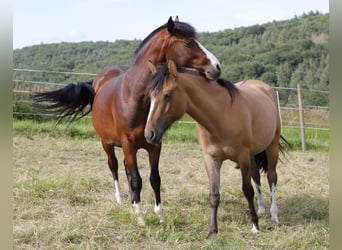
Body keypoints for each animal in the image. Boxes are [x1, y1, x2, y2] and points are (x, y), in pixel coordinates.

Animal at [31, 16, 219, 226]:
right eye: (188, 43)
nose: (216, 67)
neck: (134, 97)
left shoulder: (155, 144)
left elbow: (155, 178)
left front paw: (159, 216)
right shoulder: (128, 144)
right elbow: (136, 179)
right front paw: (141, 219)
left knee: (126, 169)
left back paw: (131, 199)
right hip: (106, 143)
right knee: (114, 165)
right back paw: (120, 198)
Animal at [144, 60, 286, 234]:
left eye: (167, 95)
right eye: (150, 96)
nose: (149, 134)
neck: (221, 114)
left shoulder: (242, 156)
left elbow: (247, 190)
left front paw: (255, 225)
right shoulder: (211, 158)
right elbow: (214, 194)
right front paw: (213, 229)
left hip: (271, 147)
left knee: (272, 177)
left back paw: (274, 214)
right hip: (253, 154)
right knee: (256, 176)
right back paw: (261, 209)